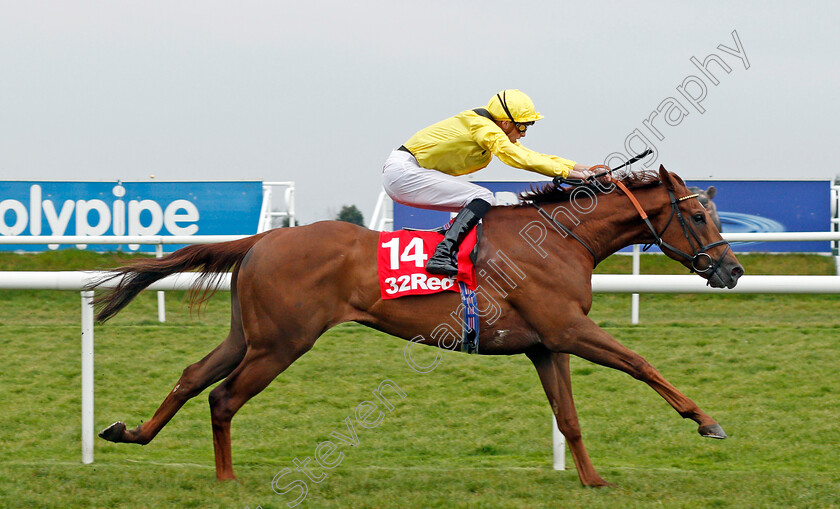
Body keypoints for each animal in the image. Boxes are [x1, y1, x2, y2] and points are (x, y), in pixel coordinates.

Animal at [92, 166, 744, 484]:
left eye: (715, 214)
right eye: (695, 215)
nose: (732, 269)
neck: (563, 238)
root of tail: (261, 239)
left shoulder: (547, 344)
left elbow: (570, 418)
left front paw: (593, 482)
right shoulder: (568, 331)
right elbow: (640, 363)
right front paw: (707, 421)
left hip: (247, 336)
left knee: (192, 376)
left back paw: (131, 433)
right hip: (281, 343)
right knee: (223, 398)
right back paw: (227, 480)